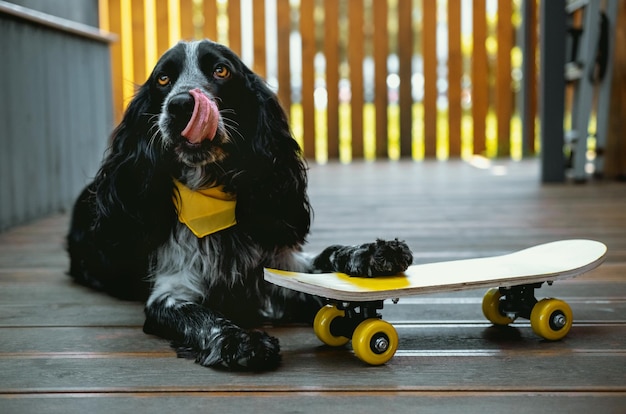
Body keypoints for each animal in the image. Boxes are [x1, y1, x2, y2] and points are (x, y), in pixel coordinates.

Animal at [66, 39, 412, 372]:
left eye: (221, 70)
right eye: (163, 79)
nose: (181, 105)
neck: (210, 199)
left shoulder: (278, 263)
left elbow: (326, 258)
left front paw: (375, 252)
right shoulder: (170, 293)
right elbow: (201, 317)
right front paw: (240, 342)